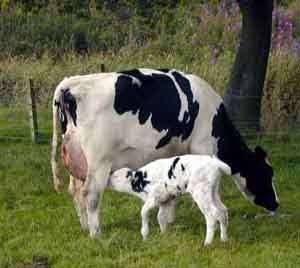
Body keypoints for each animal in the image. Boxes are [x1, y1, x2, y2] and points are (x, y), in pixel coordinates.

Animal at [50, 68, 278, 238]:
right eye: (267, 173)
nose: (276, 203)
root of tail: (70, 83)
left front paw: (168, 220)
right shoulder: (202, 147)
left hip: (77, 158)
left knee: (75, 191)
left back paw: (85, 227)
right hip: (99, 161)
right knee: (91, 194)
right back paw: (96, 233)